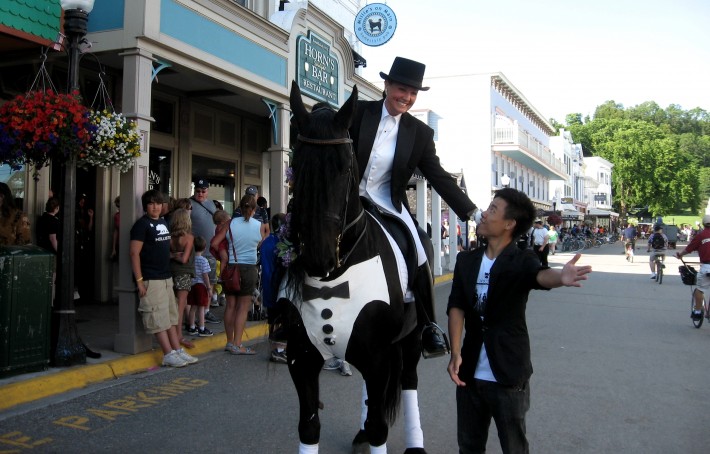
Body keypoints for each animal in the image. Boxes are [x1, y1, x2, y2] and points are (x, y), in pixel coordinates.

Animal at [280, 82, 428, 454]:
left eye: (345, 166)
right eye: (296, 165)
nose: (317, 256)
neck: (335, 276)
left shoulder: (379, 357)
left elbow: (379, 428)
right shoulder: (302, 357)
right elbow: (309, 427)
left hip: (412, 340)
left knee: (409, 381)